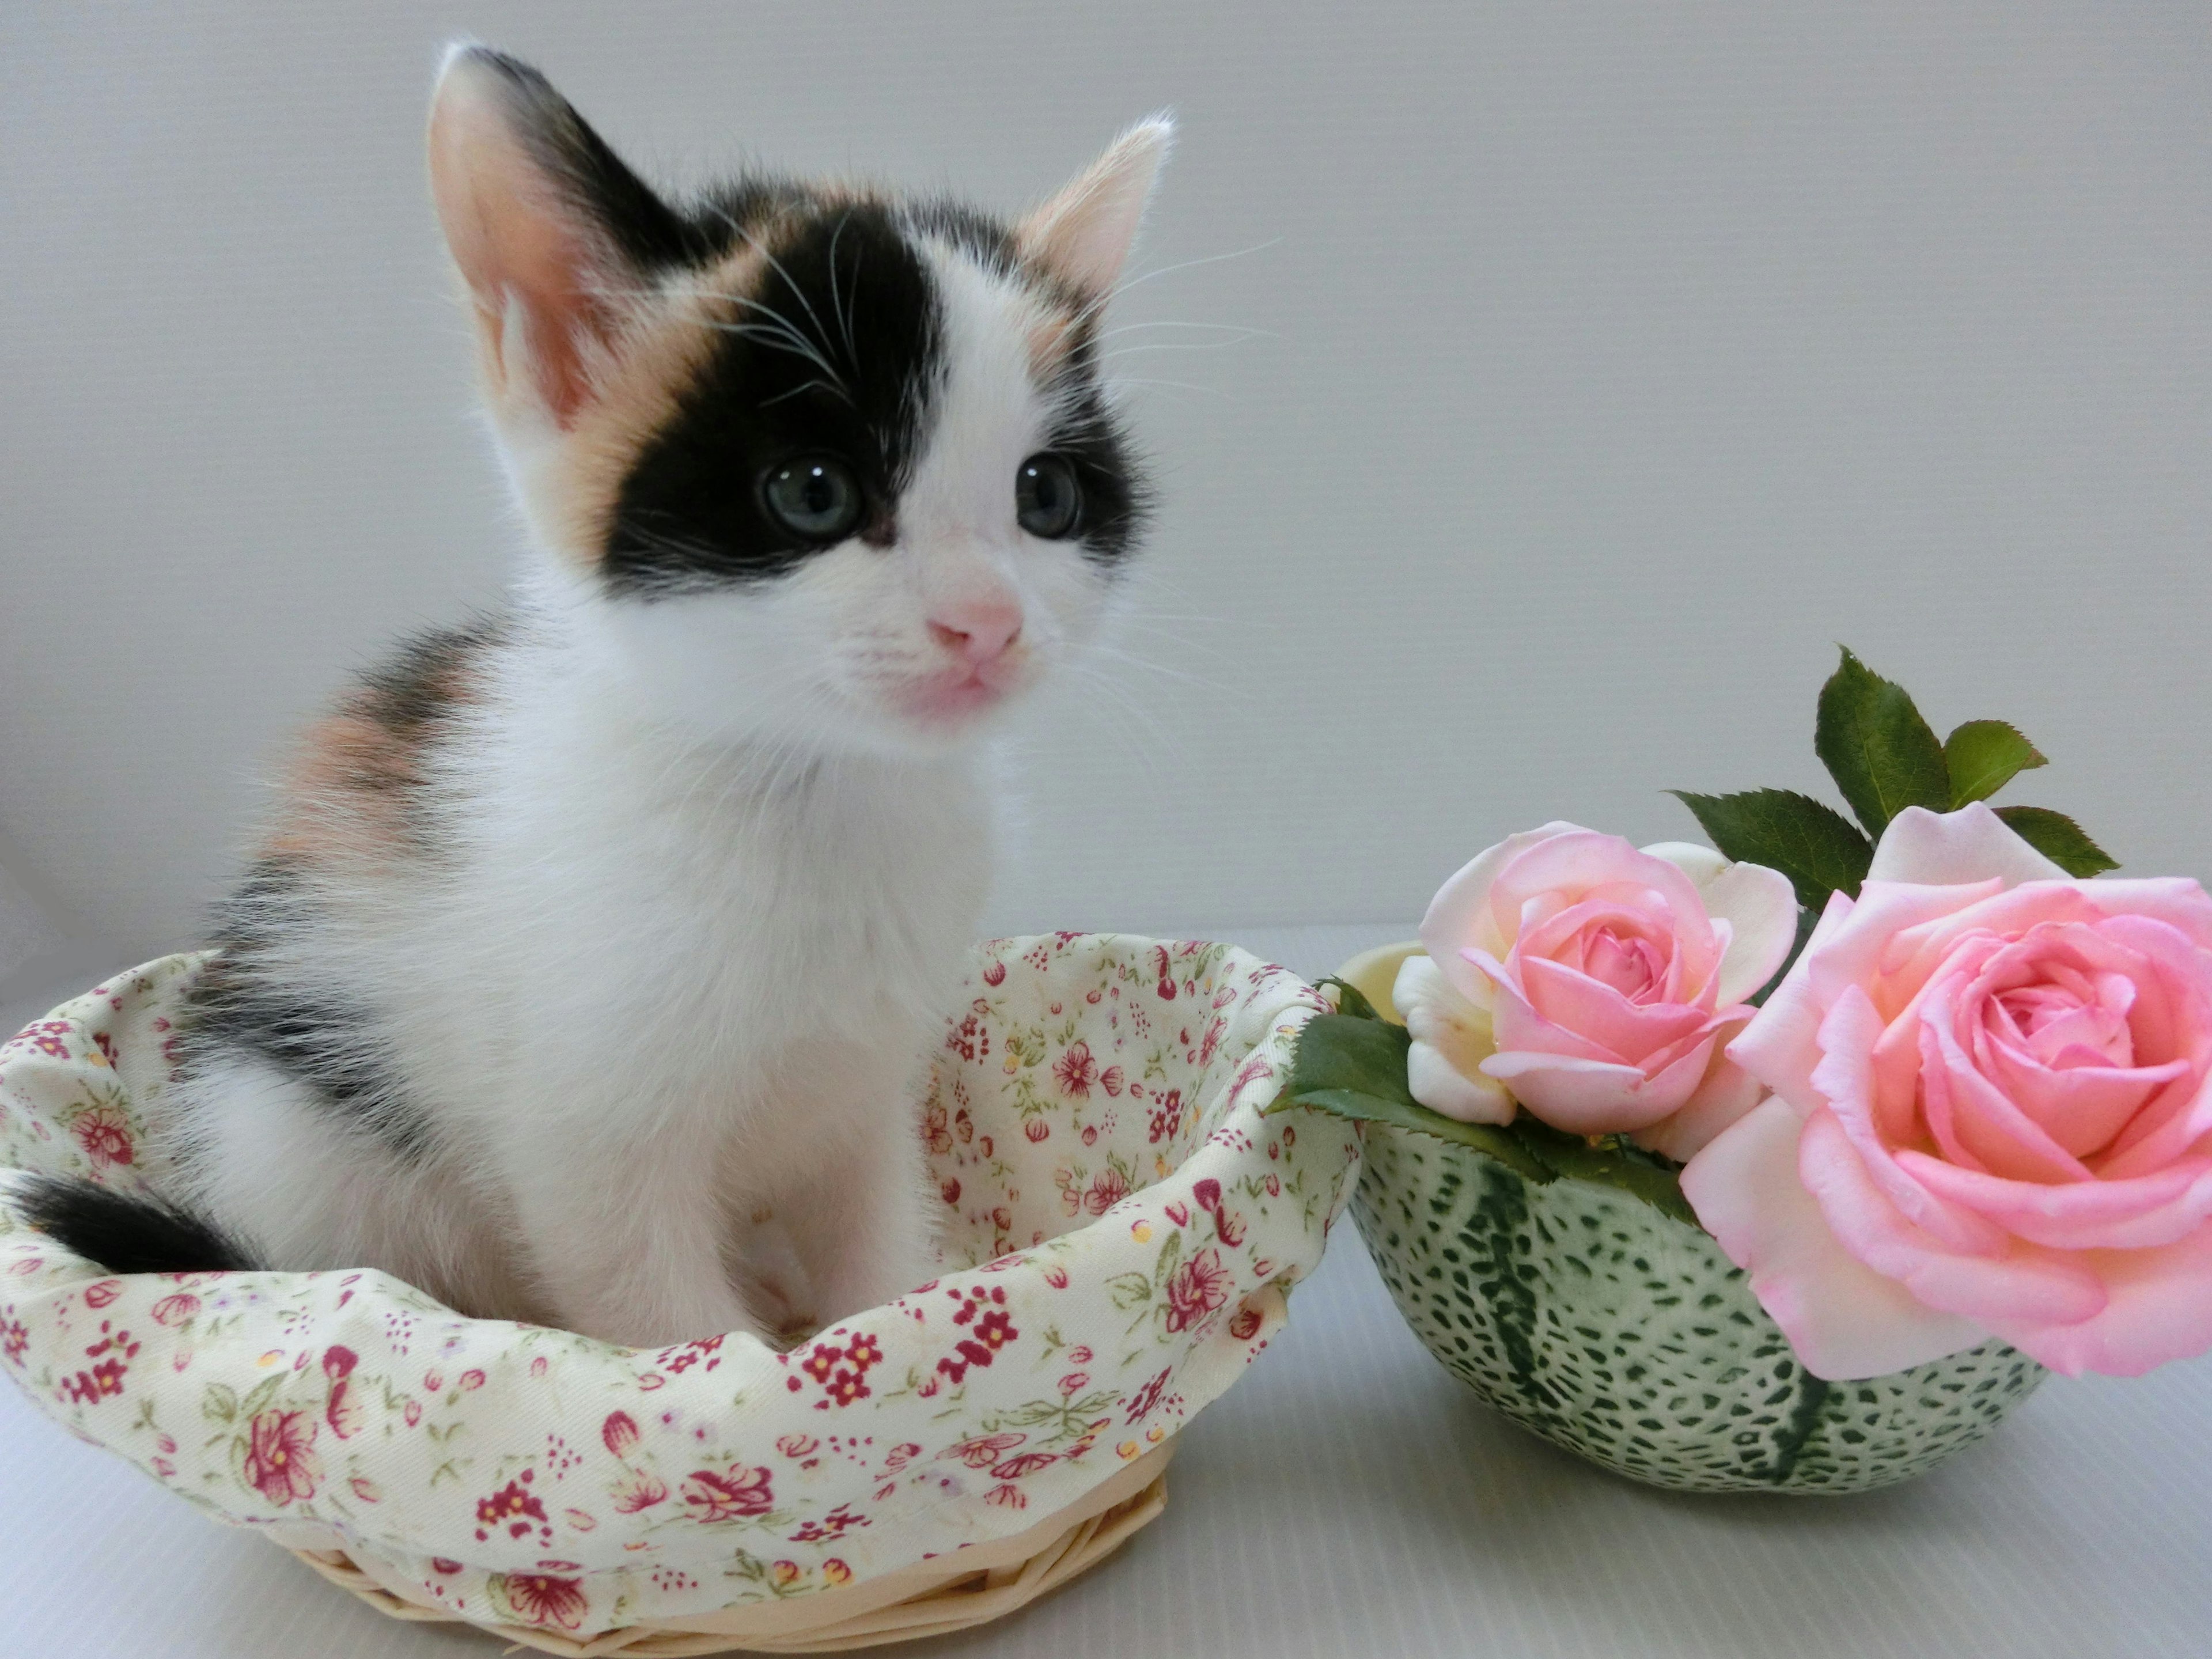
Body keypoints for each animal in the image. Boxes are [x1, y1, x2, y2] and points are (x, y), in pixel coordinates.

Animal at [17, 45, 1176, 1354]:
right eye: (813, 492)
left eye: (1046, 496)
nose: (987, 622)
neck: (812, 802)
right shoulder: (587, 1146)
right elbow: (671, 1328)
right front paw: (756, 1372)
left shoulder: (866, 1092)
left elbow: (878, 1266)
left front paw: (879, 1334)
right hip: (293, 1129)